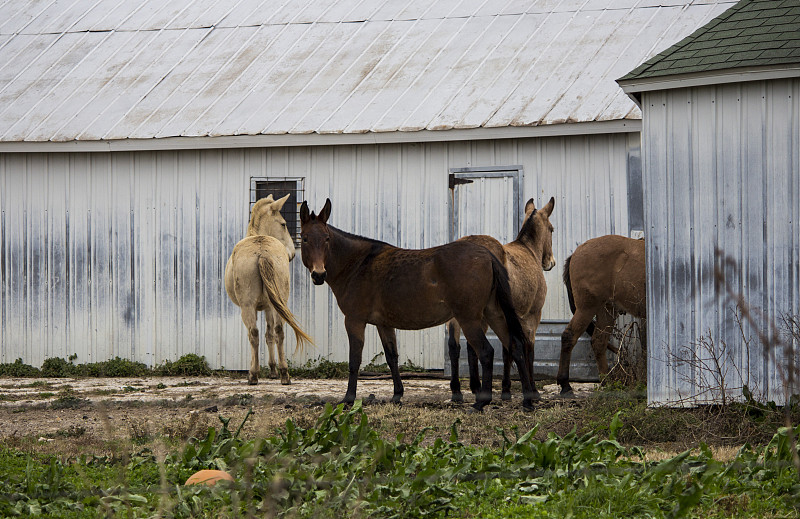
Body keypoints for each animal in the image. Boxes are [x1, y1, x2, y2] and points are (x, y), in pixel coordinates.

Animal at [227, 195, 314, 386]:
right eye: (283, 224)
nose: (292, 254)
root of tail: (262, 252)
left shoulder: (261, 307)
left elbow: (263, 335)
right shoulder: (269, 306)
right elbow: (270, 334)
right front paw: (274, 370)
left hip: (248, 307)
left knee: (253, 334)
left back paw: (253, 375)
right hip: (279, 303)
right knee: (279, 331)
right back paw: (284, 374)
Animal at [304, 201, 540, 412]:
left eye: (326, 239)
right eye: (305, 238)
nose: (318, 274)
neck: (358, 264)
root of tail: (488, 255)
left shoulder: (354, 320)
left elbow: (354, 361)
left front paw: (349, 399)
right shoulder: (384, 324)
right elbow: (392, 357)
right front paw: (397, 395)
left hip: (470, 319)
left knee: (486, 352)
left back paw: (482, 402)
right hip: (494, 314)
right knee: (515, 347)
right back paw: (527, 401)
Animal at [450, 198, 556, 402]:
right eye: (552, 229)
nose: (551, 262)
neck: (528, 249)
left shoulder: (509, 316)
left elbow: (508, 348)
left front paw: (506, 390)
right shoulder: (532, 315)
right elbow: (528, 349)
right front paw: (532, 390)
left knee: (456, 346)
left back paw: (459, 391)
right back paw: (477, 389)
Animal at [560, 235, 648, 394]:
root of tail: (576, 253)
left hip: (606, 310)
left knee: (598, 342)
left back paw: (607, 381)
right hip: (586, 308)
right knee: (569, 336)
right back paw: (565, 384)